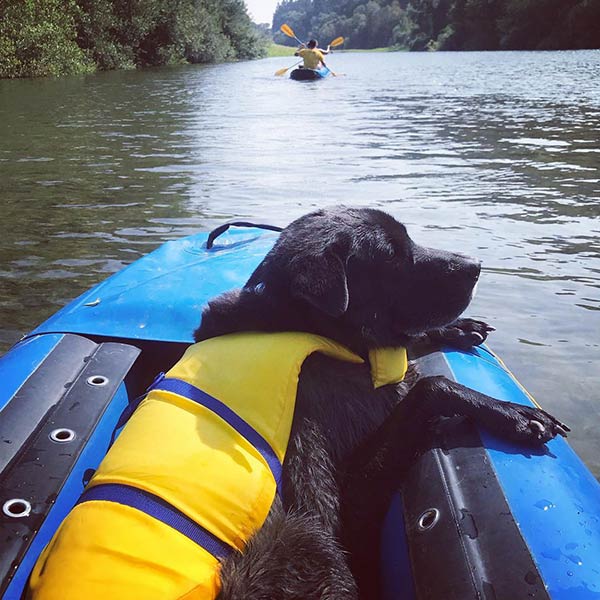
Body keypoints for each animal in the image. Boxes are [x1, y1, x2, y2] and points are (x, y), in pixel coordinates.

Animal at [193, 206, 568, 600]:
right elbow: (432, 386)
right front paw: (513, 414)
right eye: (392, 256)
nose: (475, 265)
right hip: (302, 544)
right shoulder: (344, 506)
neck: (306, 326)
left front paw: (456, 329)